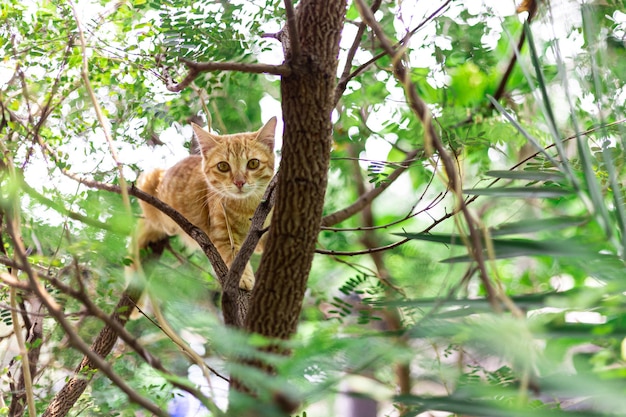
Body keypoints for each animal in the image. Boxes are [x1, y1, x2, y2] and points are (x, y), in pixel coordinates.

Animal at [136, 117, 276, 290]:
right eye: (223, 166)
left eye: (253, 163)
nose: (239, 182)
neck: (247, 207)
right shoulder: (223, 235)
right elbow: (234, 258)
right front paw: (243, 277)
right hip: (148, 181)